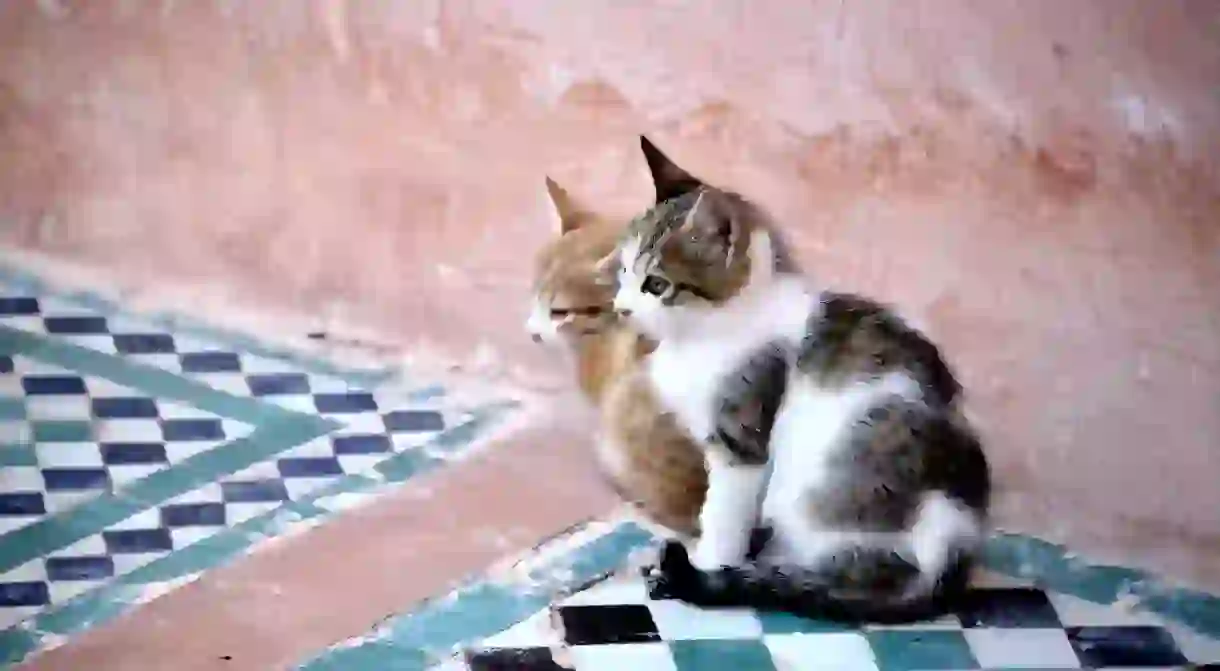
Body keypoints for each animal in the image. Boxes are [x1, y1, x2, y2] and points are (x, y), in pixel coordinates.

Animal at [610, 137, 990, 624]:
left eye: (656, 285)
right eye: (622, 272)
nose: (621, 309)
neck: (716, 327)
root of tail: (952, 557)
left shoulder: (742, 434)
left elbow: (723, 511)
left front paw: (711, 563)